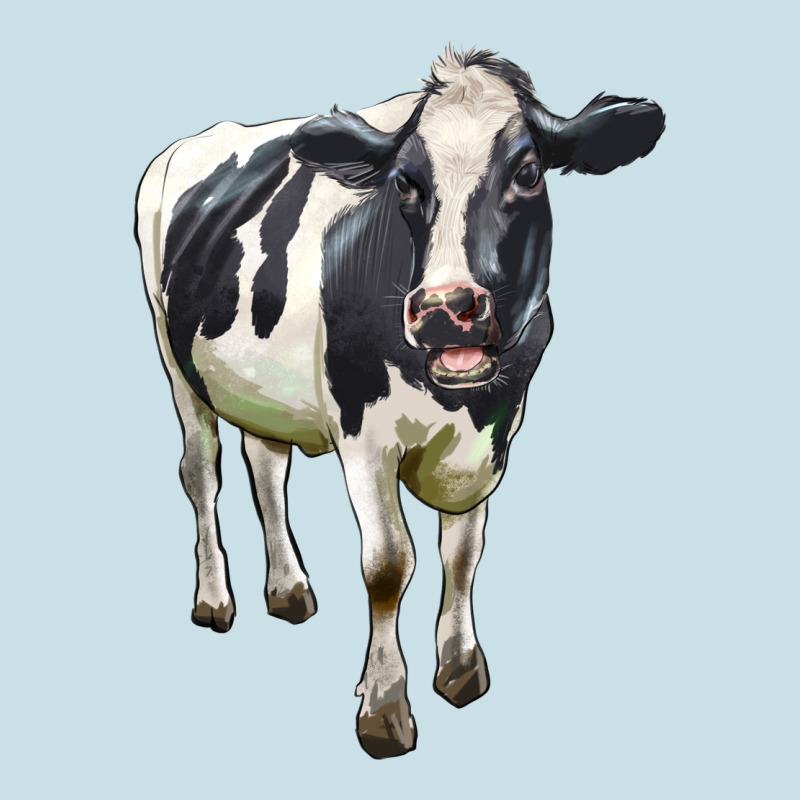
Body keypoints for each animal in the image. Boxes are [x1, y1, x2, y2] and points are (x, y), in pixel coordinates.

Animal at [135, 47, 664, 759]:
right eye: (406, 183)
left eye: (527, 172)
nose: (445, 308)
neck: (461, 404)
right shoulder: (363, 433)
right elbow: (389, 564)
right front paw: (384, 707)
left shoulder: (495, 437)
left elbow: (463, 552)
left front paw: (461, 667)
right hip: (174, 361)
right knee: (201, 474)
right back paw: (215, 598)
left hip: (260, 386)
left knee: (267, 467)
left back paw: (288, 588)